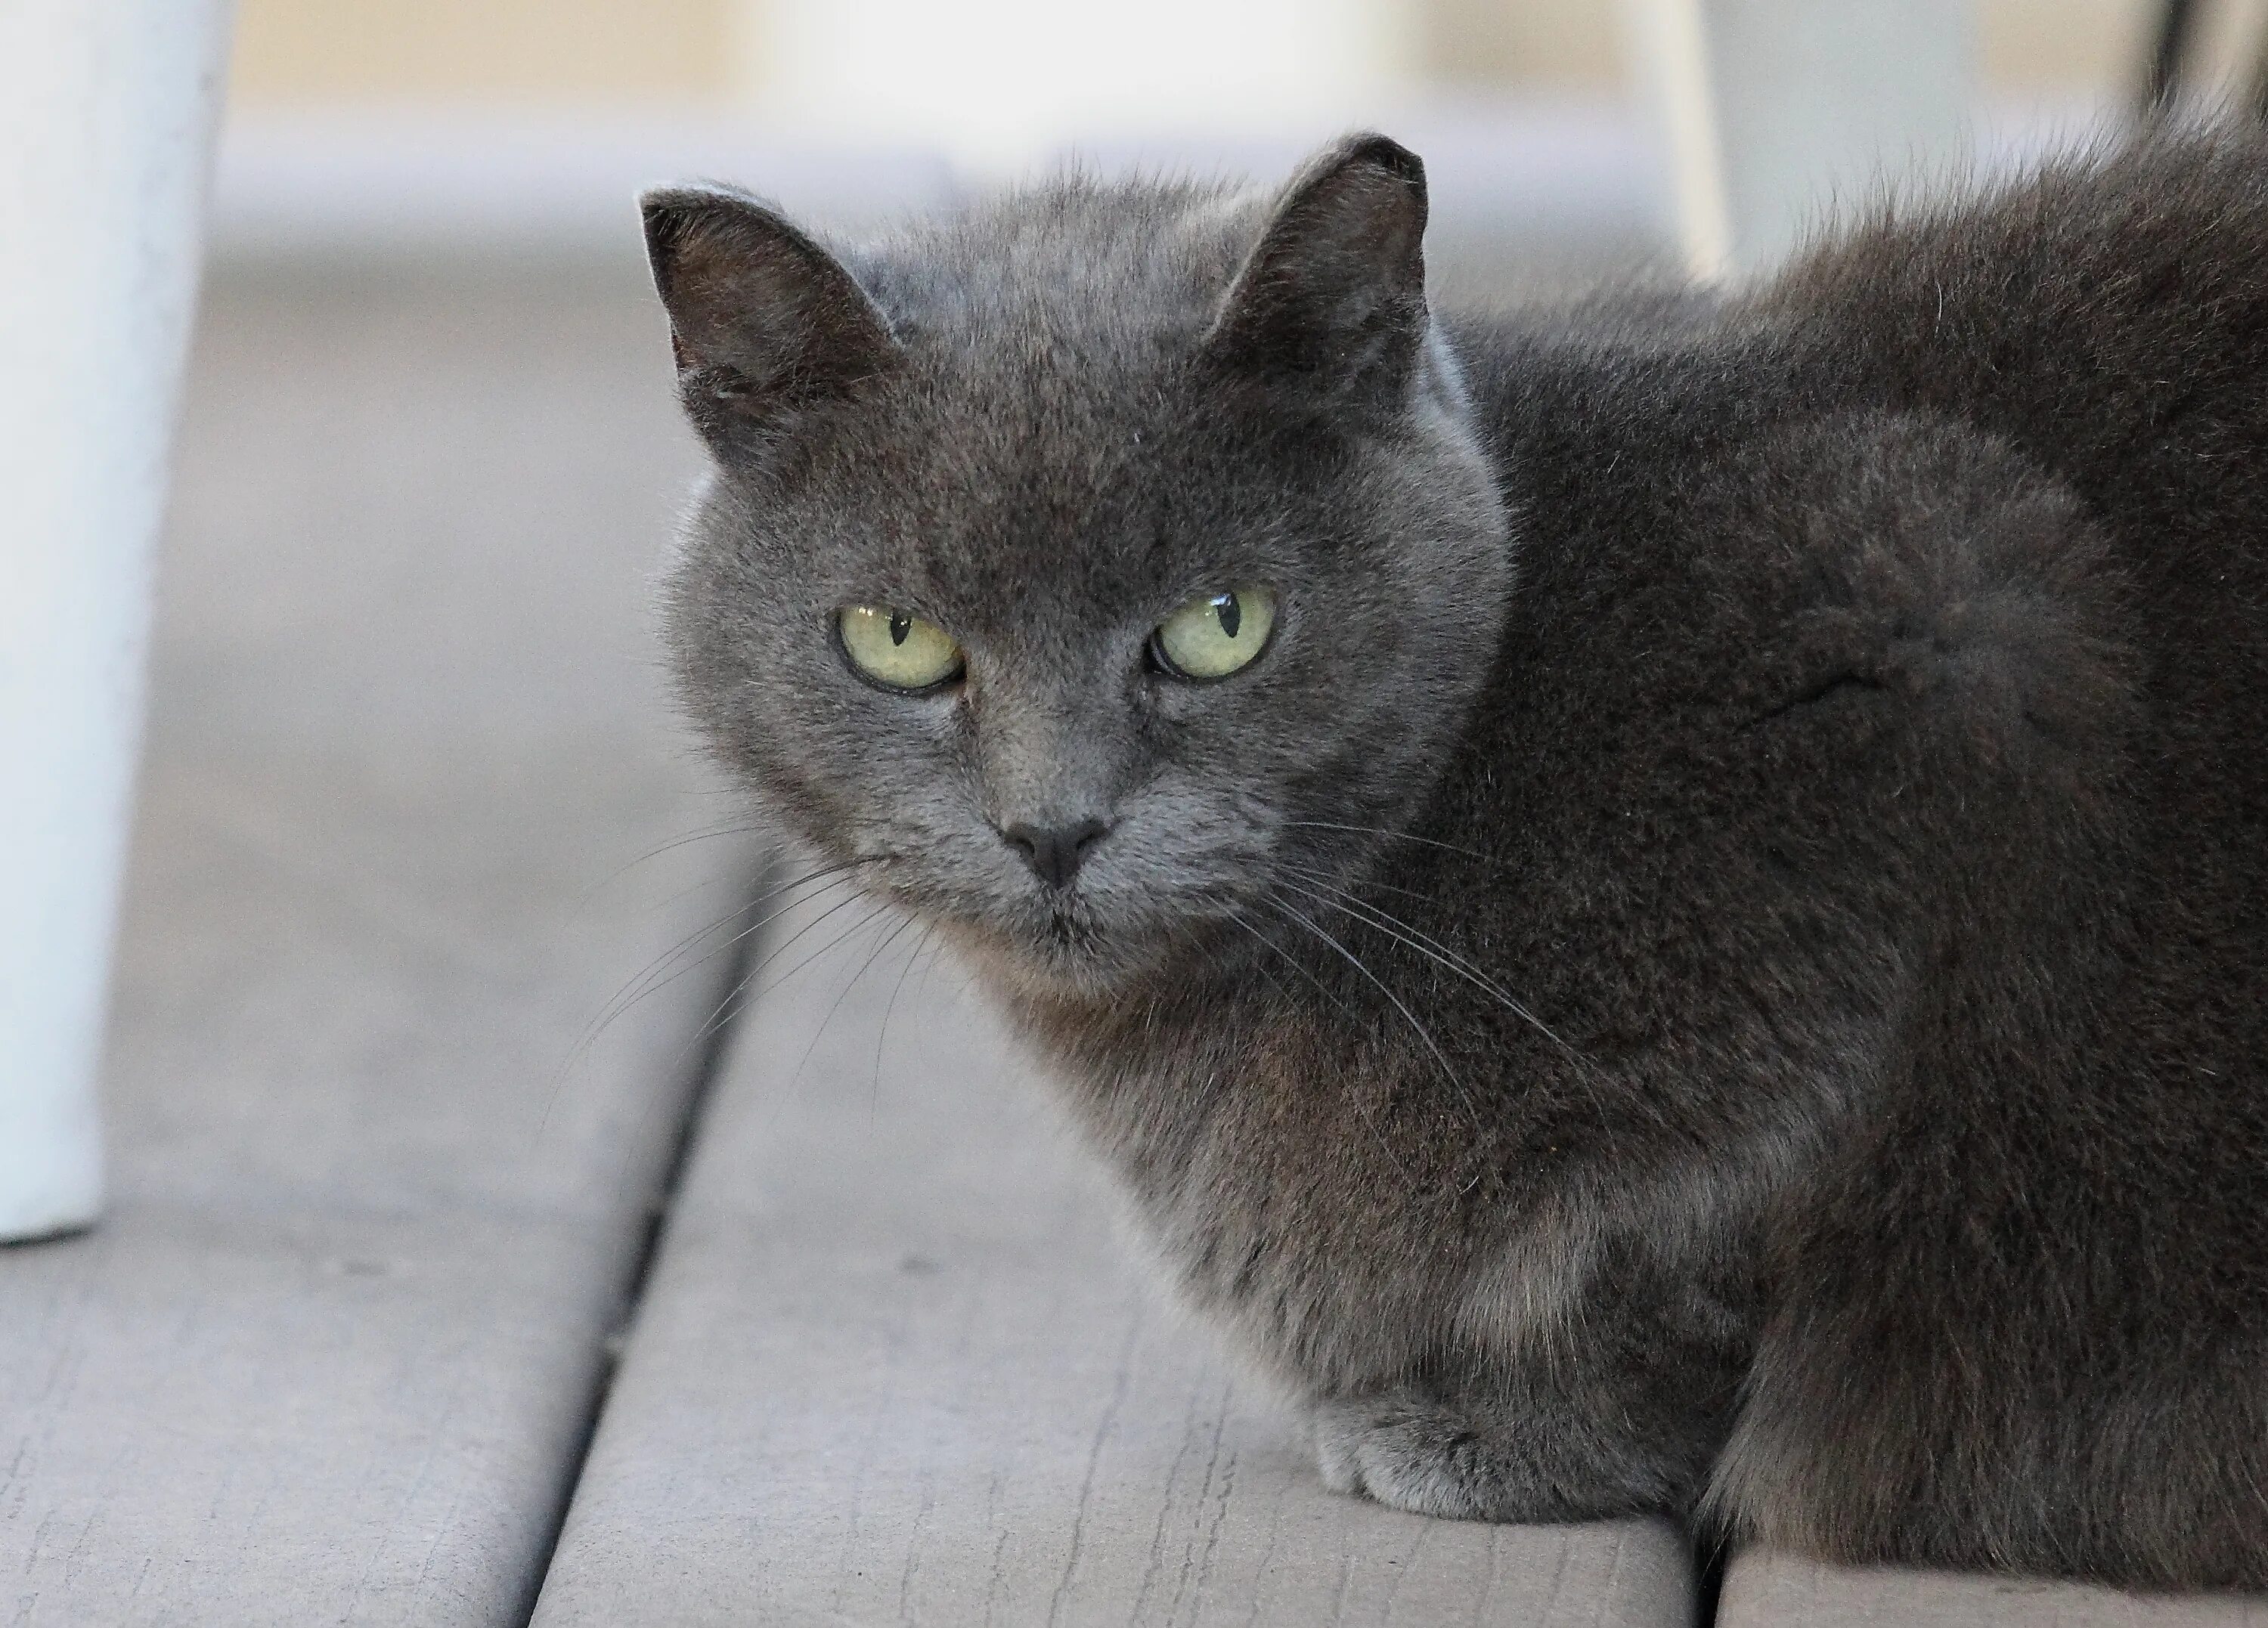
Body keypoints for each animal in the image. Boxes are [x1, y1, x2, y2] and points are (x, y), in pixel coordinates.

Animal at [635, 131, 2268, 1596]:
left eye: (1220, 625)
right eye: (898, 639)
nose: (1053, 828)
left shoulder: (1953, 640)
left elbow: (1704, 1245)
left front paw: (1502, 1432)